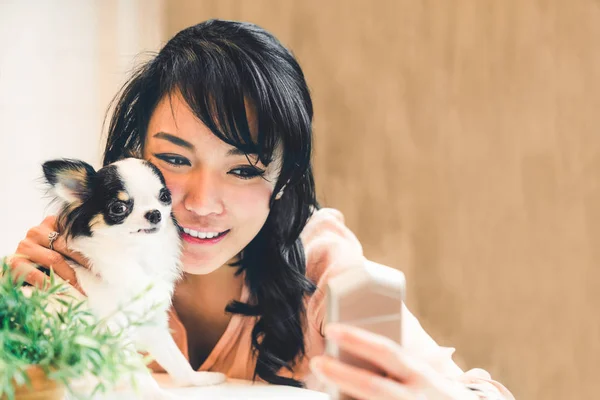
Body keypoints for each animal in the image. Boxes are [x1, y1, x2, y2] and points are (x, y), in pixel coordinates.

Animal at [41, 158, 225, 398]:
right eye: (119, 208)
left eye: (165, 197)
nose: (155, 213)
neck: (135, 253)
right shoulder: (114, 330)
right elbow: (138, 371)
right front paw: (157, 394)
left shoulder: (152, 321)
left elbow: (176, 360)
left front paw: (199, 380)